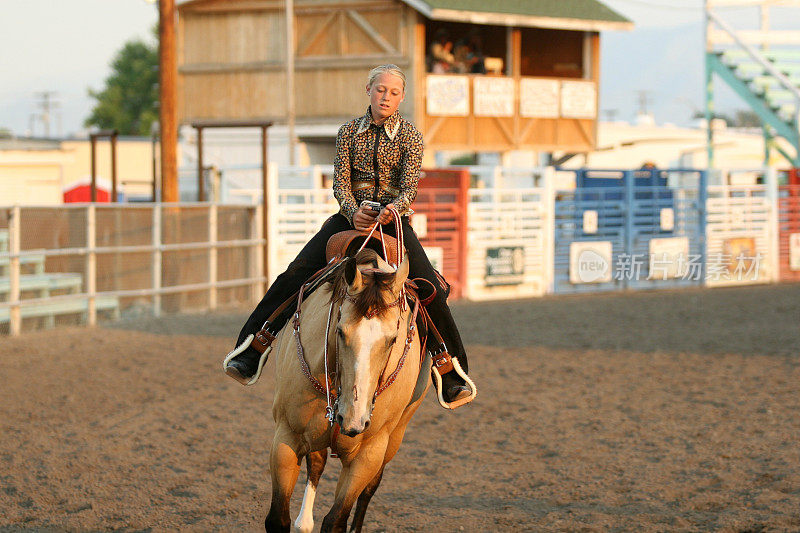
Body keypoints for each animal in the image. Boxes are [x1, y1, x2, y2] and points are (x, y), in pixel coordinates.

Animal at [266, 233, 434, 532]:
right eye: (340, 331)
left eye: (393, 339)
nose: (353, 420)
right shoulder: (286, 436)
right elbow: (278, 518)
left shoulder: (368, 454)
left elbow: (336, 520)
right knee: (317, 464)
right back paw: (304, 521)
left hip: (395, 437)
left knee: (369, 489)